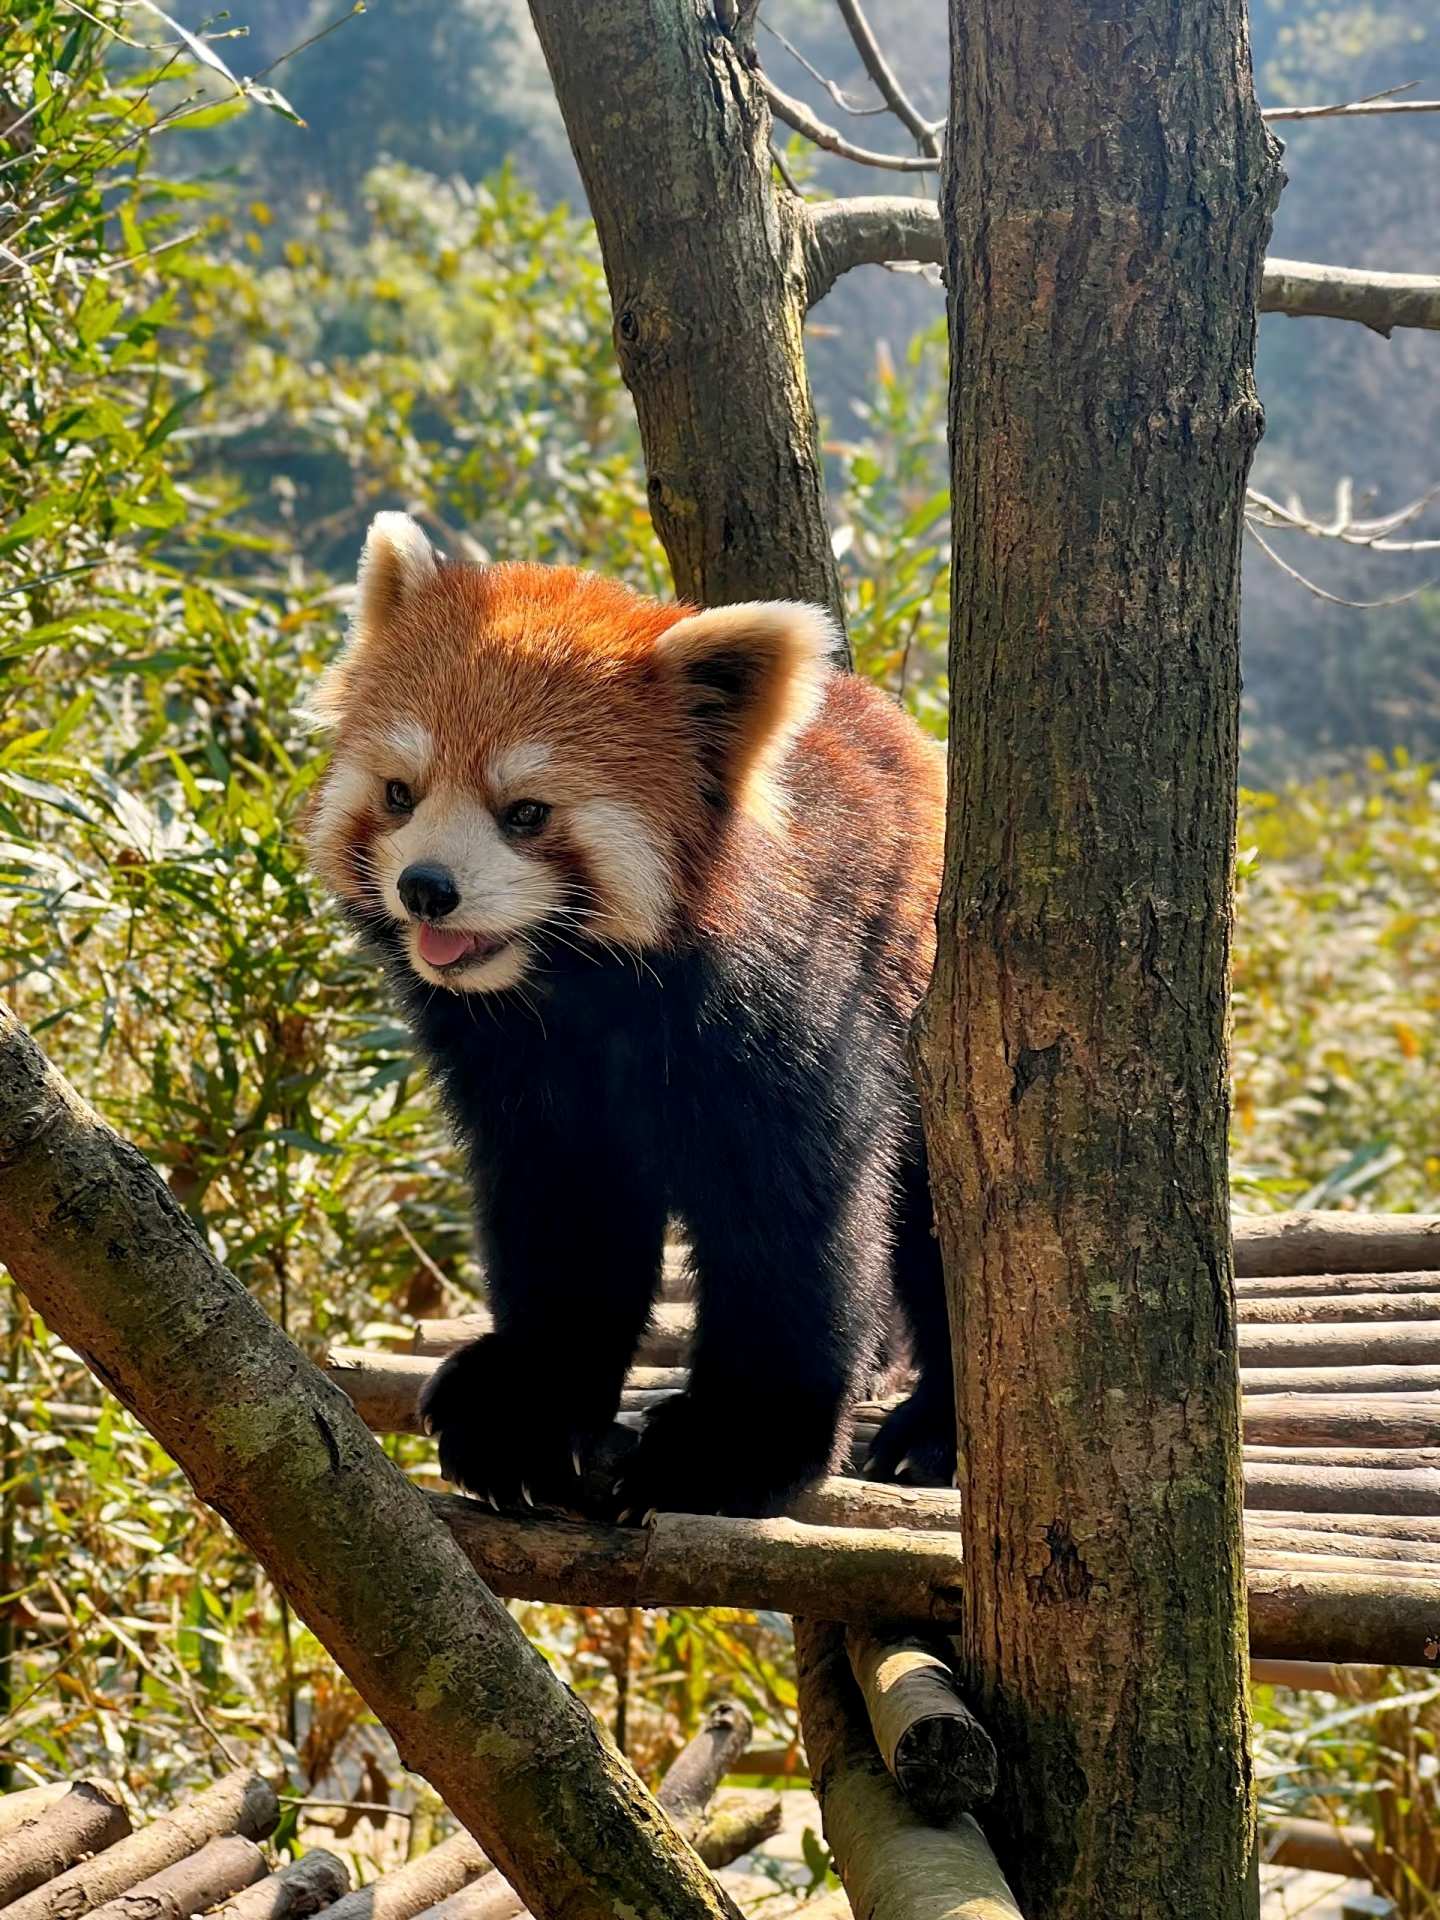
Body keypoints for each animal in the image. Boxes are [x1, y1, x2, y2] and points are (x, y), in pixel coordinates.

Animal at [304, 511, 951, 1519]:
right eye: (400, 793)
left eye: (526, 813)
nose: (426, 889)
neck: (581, 995)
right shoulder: (518, 1069)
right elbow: (568, 1213)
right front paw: (524, 1412)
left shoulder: (801, 1009)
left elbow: (794, 1225)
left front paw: (736, 1447)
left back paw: (933, 1430)